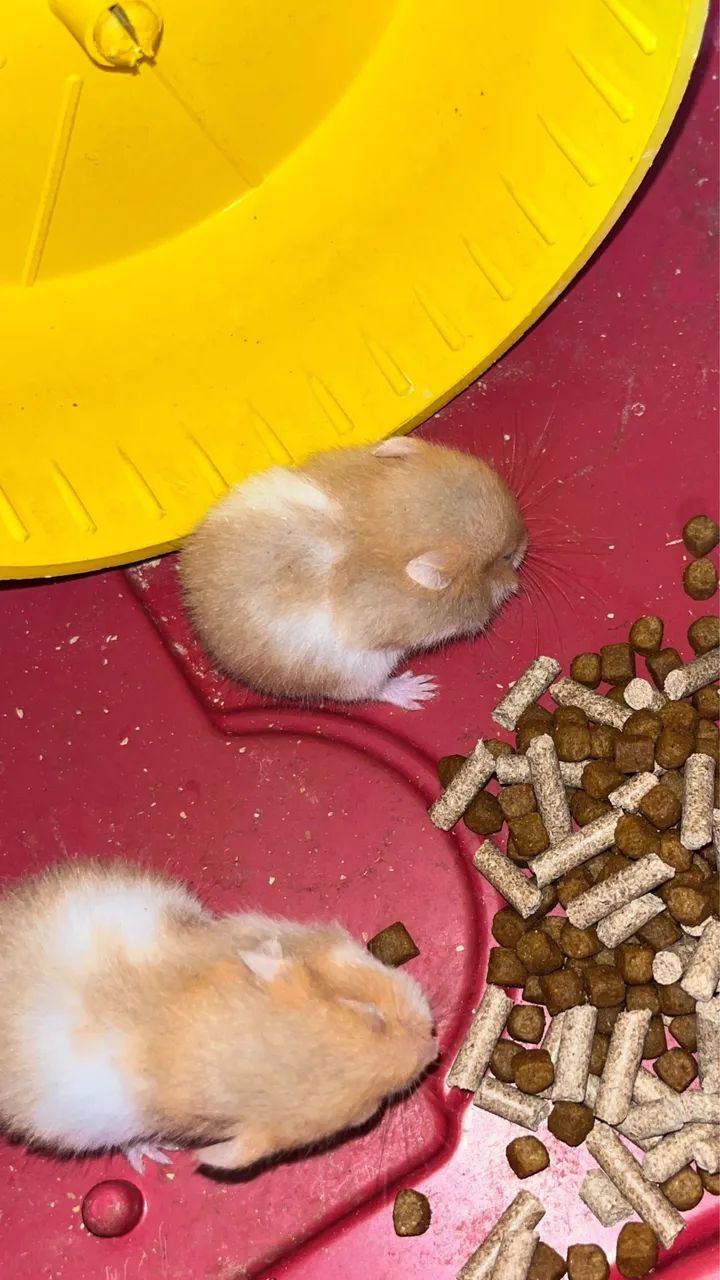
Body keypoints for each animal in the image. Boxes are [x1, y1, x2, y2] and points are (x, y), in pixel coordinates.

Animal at [179, 436, 527, 709]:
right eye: (506, 555)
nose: (527, 542)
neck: (390, 524)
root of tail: (205, 631)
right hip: (360, 671)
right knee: (370, 692)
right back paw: (419, 690)